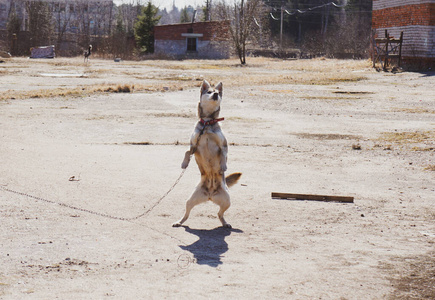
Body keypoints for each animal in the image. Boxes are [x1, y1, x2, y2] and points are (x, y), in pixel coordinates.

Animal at [173, 81, 242, 229]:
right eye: (209, 92)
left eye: (217, 92)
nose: (215, 94)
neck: (207, 123)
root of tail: (210, 194)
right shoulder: (194, 145)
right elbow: (186, 152)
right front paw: (184, 163)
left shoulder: (223, 145)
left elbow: (224, 155)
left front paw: (223, 165)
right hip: (190, 200)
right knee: (186, 214)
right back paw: (179, 222)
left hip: (227, 201)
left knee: (219, 214)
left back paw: (225, 223)